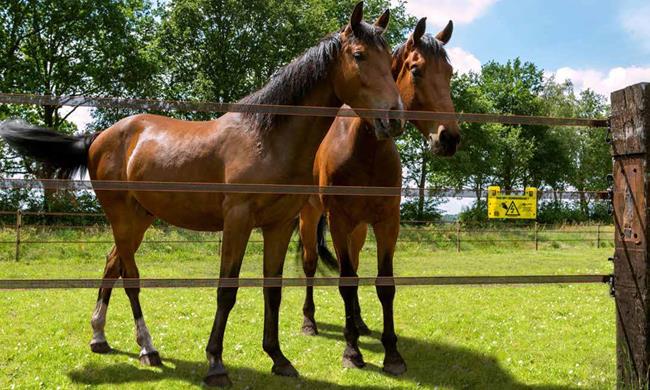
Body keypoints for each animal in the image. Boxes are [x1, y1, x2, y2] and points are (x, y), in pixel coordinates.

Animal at [0, 3, 402, 386]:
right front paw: (215, 364)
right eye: (359, 55)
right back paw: (147, 348)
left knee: (112, 264)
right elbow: (227, 290)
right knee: (129, 276)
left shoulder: (279, 225)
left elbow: (272, 290)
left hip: (138, 219)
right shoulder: (238, 222)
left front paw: (278, 358)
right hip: (122, 218)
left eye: (390, 60)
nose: (394, 118)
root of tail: (99, 137)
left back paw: (99, 337)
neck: (267, 138)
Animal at [296, 17, 458, 374]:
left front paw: (392, 354)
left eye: (450, 73)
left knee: (355, 266)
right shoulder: (339, 221)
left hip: (358, 229)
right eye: (416, 70)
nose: (449, 138)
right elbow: (345, 281)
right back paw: (310, 322)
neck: (364, 148)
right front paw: (352, 352)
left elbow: (384, 285)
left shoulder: (386, 222)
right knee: (311, 264)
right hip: (311, 217)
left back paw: (358, 323)